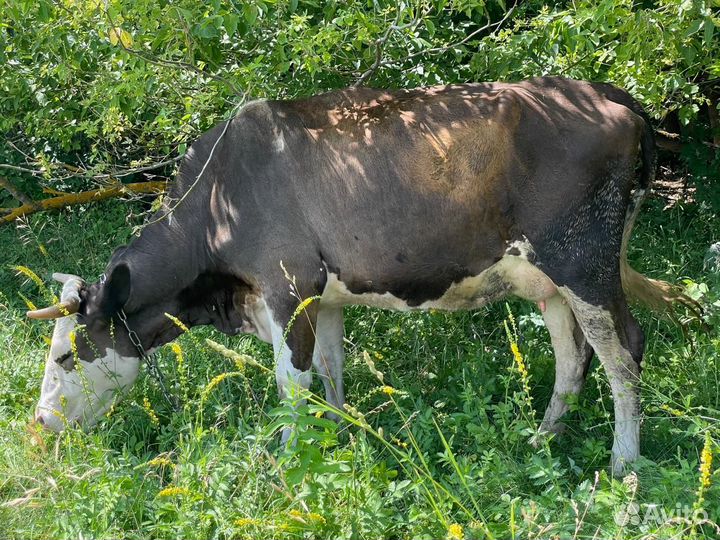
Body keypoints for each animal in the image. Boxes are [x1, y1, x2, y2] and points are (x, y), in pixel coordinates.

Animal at [27, 77, 695, 475]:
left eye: (64, 355)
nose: (38, 424)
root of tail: (606, 93)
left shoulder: (288, 286)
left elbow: (292, 388)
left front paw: (290, 468)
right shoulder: (324, 300)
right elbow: (330, 375)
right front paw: (338, 445)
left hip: (583, 259)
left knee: (623, 351)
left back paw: (623, 465)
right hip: (548, 278)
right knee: (572, 354)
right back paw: (543, 440)